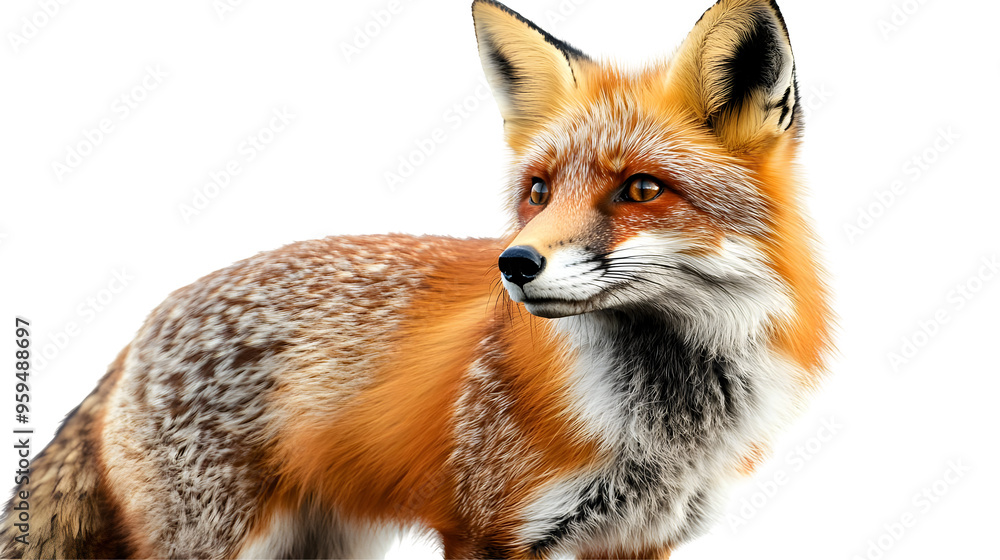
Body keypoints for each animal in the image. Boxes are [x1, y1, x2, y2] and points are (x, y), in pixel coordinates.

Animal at [1, 0, 830, 558]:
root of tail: (143, 326)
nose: (514, 265)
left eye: (641, 189)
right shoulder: (487, 527)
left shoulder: (638, 539)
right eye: (538, 190)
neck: (661, 434)